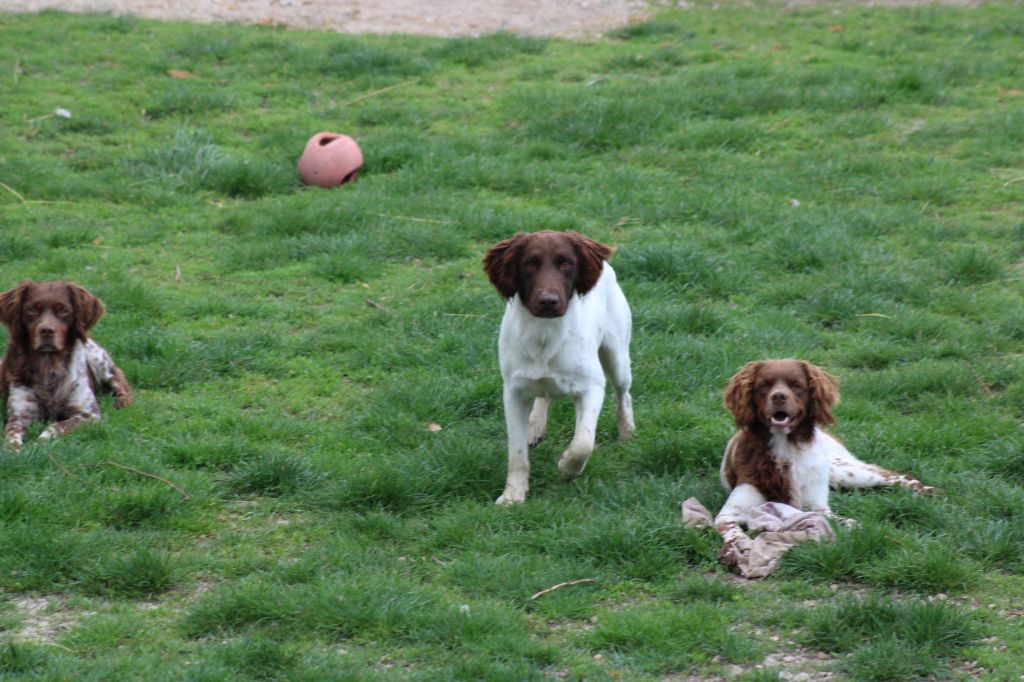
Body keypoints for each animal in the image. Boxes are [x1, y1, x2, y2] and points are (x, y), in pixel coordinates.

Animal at [0, 280, 133, 450]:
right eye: (32, 310)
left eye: (63, 310)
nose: (46, 331)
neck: (49, 365)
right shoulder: (20, 414)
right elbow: (12, 435)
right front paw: (13, 449)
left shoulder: (88, 415)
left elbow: (55, 426)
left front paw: (39, 443)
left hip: (99, 360)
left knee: (121, 383)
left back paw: (122, 401)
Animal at [483, 230, 634, 504]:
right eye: (530, 264)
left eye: (566, 264)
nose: (548, 301)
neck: (544, 334)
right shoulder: (513, 391)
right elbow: (516, 452)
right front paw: (513, 495)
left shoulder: (591, 387)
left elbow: (583, 441)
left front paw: (568, 467)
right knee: (545, 395)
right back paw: (535, 426)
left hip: (617, 356)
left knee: (623, 394)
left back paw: (627, 432)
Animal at [715, 358, 938, 531]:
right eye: (764, 385)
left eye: (796, 385)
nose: (778, 396)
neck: (786, 447)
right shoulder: (729, 514)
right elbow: (734, 533)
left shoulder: (816, 507)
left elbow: (841, 521)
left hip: (841, 470)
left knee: (893, 476)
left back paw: (928, 491)